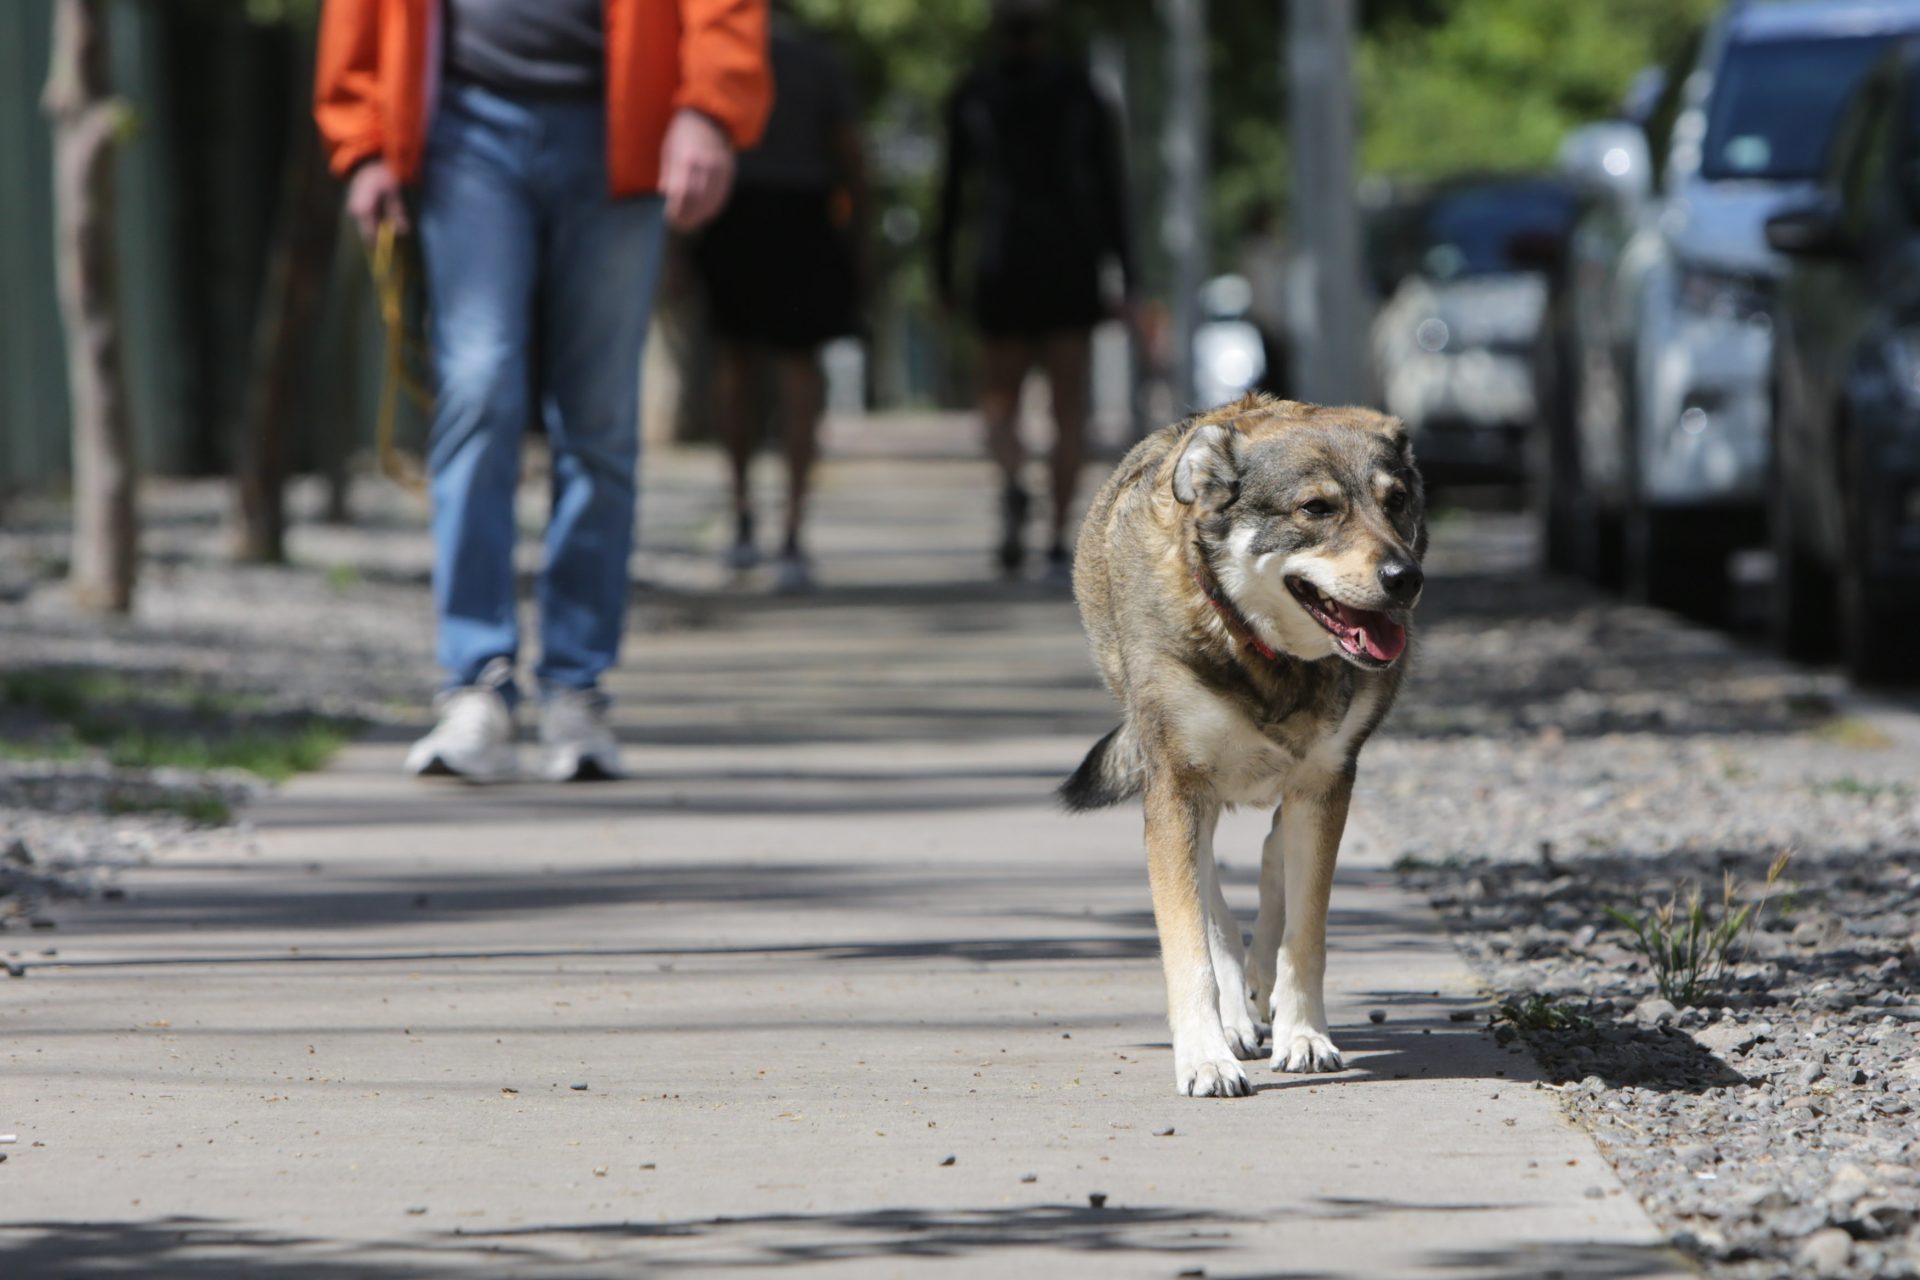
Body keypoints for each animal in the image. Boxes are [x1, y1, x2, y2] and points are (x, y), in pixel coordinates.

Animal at [1067, 395, 1428, 1097]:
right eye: (1316, 509)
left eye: (1395, 501)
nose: (1406, 577)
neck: (1265, 654)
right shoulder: (1177, 788)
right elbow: (1190, 941)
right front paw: (1207, 1057)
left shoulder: (1326, 782)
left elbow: (1305, 933)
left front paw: (1305, 1036)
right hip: (1190, 794)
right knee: (1213, 898)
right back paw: (1235, 1015)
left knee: (1271, 858)